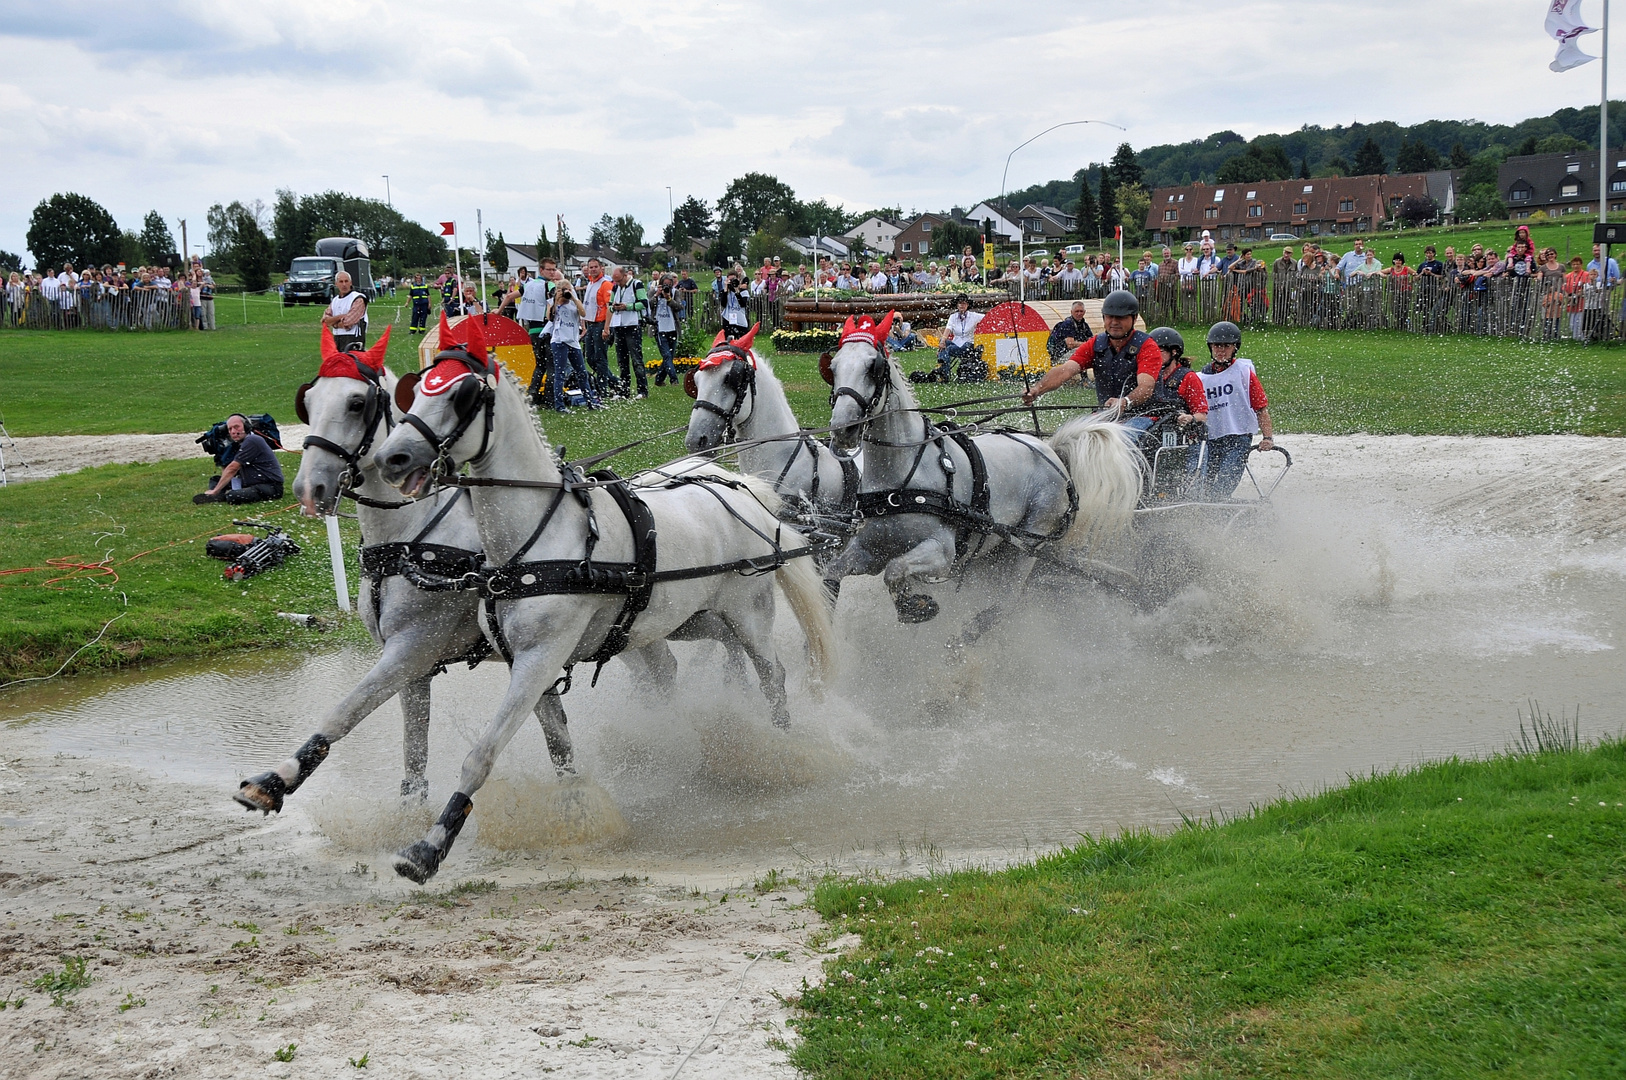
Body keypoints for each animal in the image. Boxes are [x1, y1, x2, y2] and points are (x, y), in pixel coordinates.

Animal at [232, 328, 578, 819]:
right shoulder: (415, 668)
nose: (308, 488)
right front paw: (411, 814)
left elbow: (345, 710)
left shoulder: (411, 647)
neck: (410, 537)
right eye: (309, 400)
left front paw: (276, 780)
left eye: (356, 402)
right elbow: (414, 751)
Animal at [372, 317, 832, 884]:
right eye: (418, 388)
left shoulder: (540, 657)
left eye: (462, 396)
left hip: (749, 614)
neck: (535, 539)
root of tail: (740, 490)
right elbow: (558, 742)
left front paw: (429, 847)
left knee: (772, 676)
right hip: (691, 620)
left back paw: (782, 751)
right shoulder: (527, 662)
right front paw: (576, 809)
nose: (392, 457)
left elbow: (482, 753)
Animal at [819, 310, 1138, 634]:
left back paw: (967, 635)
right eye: (832, 368)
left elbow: (895, 570)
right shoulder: (869, 550)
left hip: (1028, 542)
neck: (903, 475)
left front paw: (914, 606)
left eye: (874, 367)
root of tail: (1052, 451)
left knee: (1008, 602)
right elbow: (832, 575)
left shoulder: (942, 552)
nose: (843, 429)